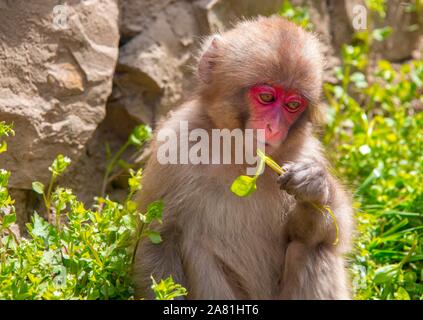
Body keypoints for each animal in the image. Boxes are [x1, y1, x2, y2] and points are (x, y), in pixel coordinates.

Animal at [133, 16, 354, 298]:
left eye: (293, 105)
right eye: (267, 97)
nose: (273, 128)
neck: (238, 156)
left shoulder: (307, 152)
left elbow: (332, 235)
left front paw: (315, 186)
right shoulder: (175, 145)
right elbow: (157, 239)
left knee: (310, 249)